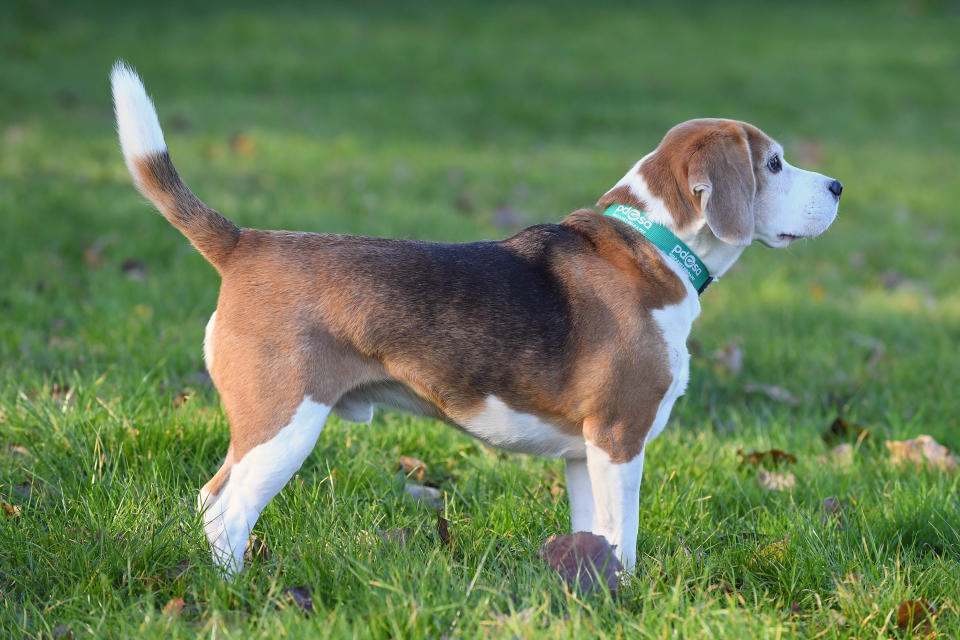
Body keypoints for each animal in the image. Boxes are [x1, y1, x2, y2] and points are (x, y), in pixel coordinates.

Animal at [110, 63, 840, 576]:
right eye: (774, 163)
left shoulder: (583, 454)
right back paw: (236, 591)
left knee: (210, 500)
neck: (654, 243)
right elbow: (623, 539)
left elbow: (594, 538)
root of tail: (245, 242)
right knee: (227, 512)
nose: (836, 187)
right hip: (283, 422)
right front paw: (629, 599)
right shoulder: (619, 439)